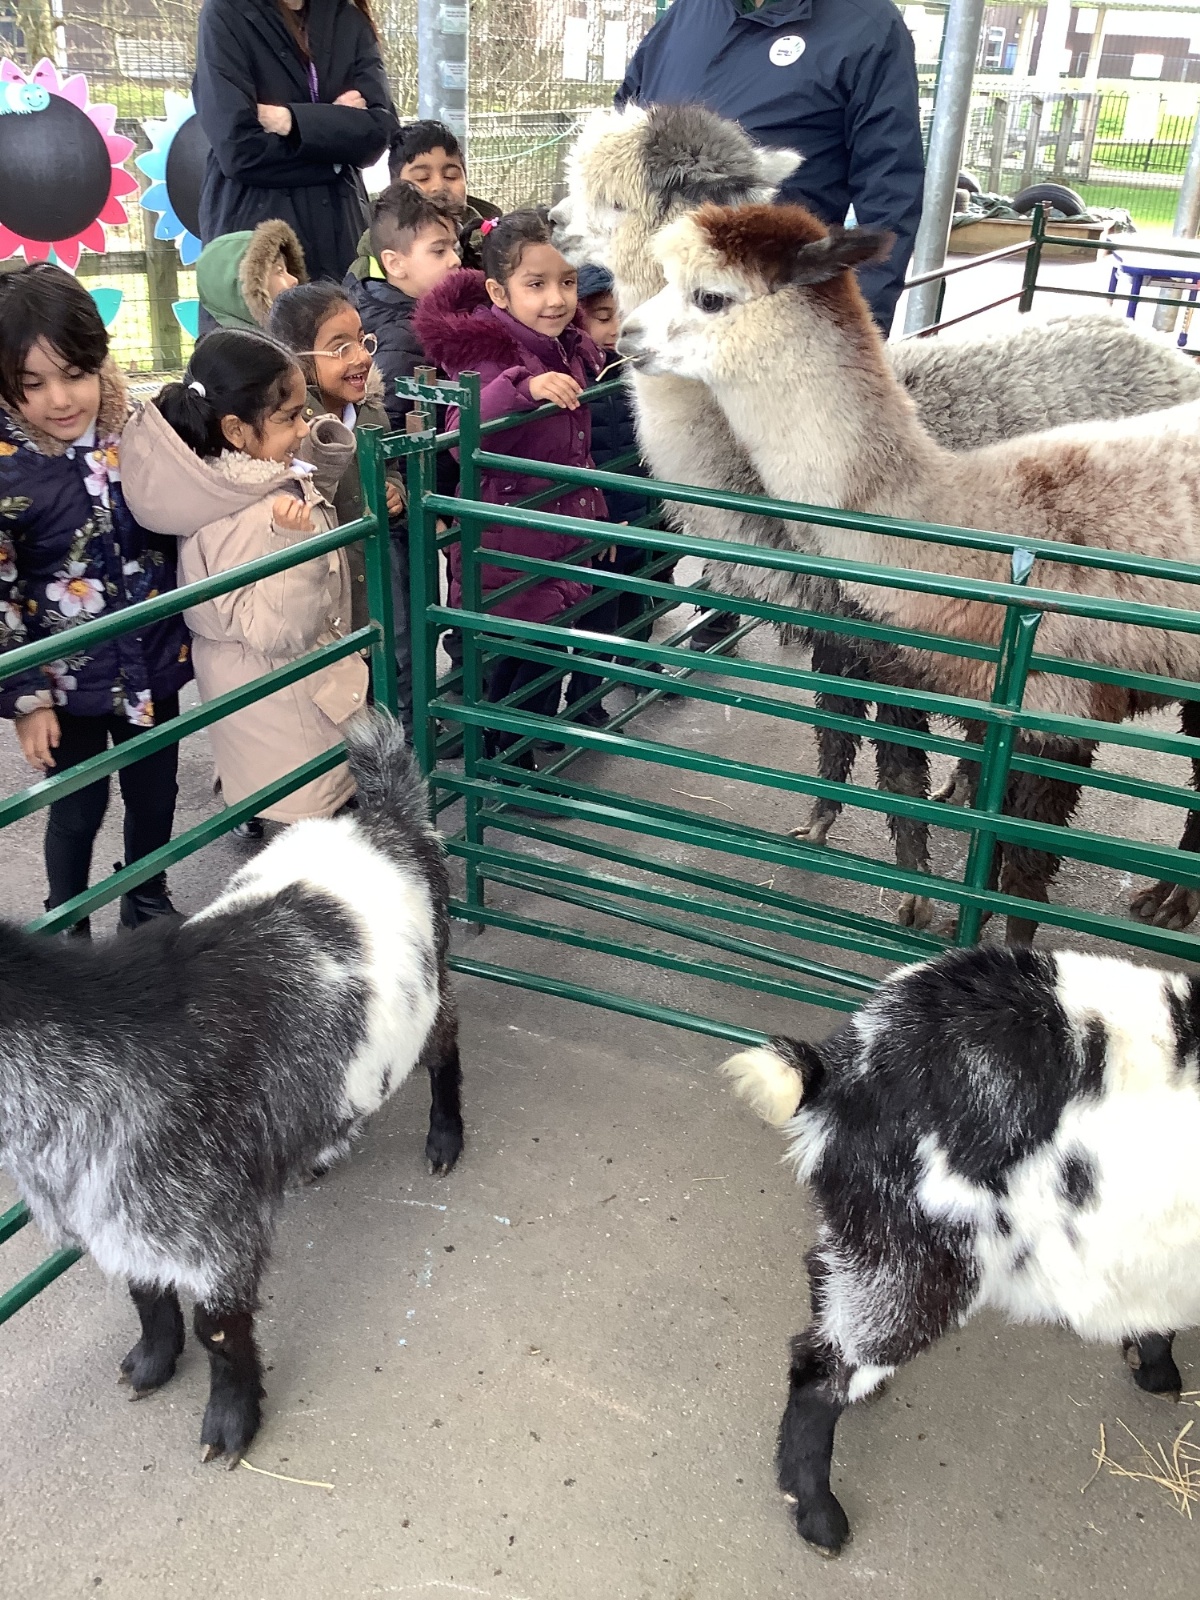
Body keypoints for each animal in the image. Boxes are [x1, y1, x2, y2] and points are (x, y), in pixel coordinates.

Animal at [0, 710, 462, 1467]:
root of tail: (384, 818)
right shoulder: (123, 1217)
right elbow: (144, 1294)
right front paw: (150, 1365)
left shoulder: (216, 1227)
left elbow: (218, 1328)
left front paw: (229, 1425)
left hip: (434, 988)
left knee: (447, 1051)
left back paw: (445, 1141)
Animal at [553, 104, 1200, 934]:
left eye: (613, 201)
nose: (551, 220)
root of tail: (1155, 344)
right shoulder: (837, 628)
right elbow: (833, 731)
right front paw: (818, 825)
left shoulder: (886, 639)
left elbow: (897, 771)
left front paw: (916, 891)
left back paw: (1170, 896)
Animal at [719, 944, 1200, 1556]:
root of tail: (848, 1063)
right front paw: (1157, 1368)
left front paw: (1150, 1357)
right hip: (927, 1255)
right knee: (821, 1369)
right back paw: (820, 1517)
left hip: (872, 1234)